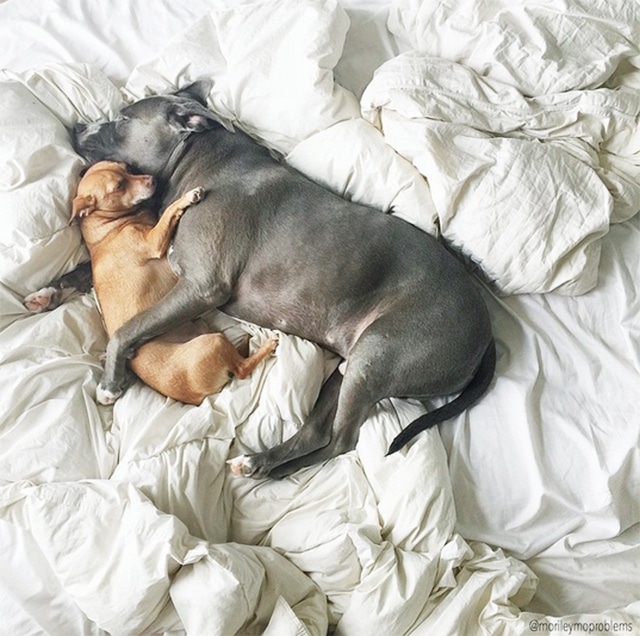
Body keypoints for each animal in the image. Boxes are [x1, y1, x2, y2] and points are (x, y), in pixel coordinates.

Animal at [23, 161, 278, 404]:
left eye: (126, 168)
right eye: (119, 186)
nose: (153, 179)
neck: (108, 228)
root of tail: (195, 396)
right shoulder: (154, 241)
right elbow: (168, 214)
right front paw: (188, 197)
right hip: (213, 342)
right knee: (242, 368)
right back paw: (267, 344)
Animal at [72, 80, 498, 476]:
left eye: (123, 119)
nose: (76, 126)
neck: (198, 161)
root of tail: (487, 327)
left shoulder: (201, 286)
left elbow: (127, 329)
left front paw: (110, 383)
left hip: (376, 356)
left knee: (341, 441)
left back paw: (263, 465)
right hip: (352, 365)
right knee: (315, 433)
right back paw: (266, 466)